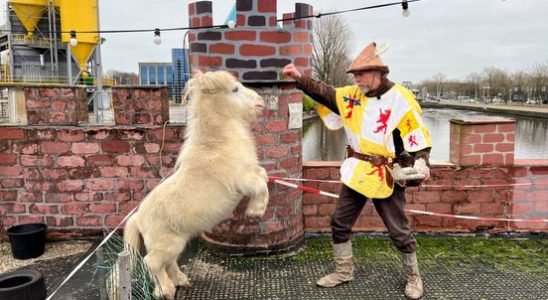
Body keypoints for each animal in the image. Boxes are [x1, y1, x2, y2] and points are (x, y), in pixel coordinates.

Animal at [123, 69, 270, 298]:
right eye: (235, 89)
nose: (260, 102)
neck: (216, 145)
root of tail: (138, 218)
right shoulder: (242, 179)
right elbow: (260, 185)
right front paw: (254, 212)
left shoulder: (250, 172)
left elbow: (263, 176)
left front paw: (256, 209)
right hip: (166, 245)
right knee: (152, 263)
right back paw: (166, 290)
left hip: (176, 244)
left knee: (169, 264)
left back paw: (181, 281)